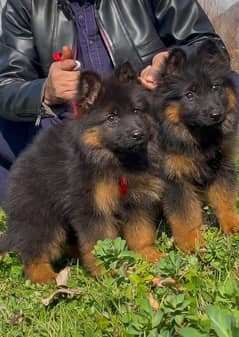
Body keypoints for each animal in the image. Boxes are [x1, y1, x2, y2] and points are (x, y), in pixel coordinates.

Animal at [0, 64, 164, 282]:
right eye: (112, 117)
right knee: (35, 248)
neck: (114, 160)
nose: (138, 134)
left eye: (136, 110)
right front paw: (105, 271)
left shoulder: (136, 200)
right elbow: (98, 241)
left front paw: (149, 255)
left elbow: (141, 233)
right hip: (41, 213)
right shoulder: (92, 207)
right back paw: (44, 276)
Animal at [151, 40, 239, 252]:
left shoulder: (221, 169)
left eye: (215, 87)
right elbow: (185, 216)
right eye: (189, 95)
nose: (216, 114)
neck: (199, 137)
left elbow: (225, 200)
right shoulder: (175, 179)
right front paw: (192, 243)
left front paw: (232, 226)